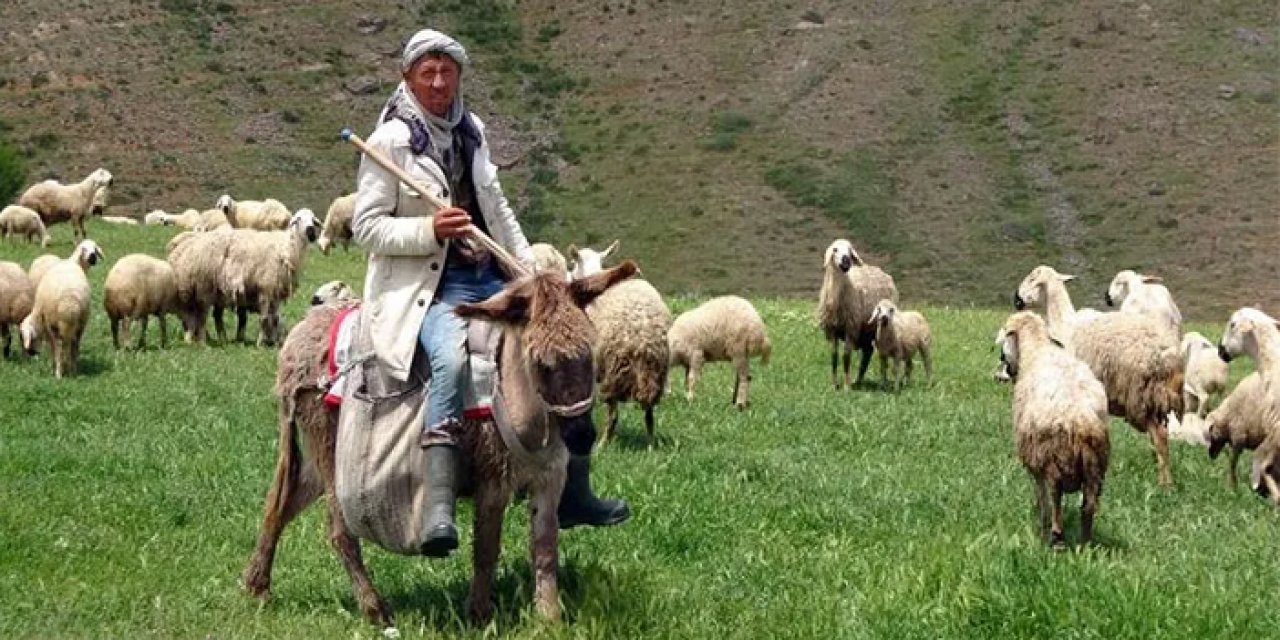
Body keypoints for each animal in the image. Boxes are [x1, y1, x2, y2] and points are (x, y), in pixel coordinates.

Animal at [19, 240, 103, 378]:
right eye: (84, 249)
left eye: (95, 249)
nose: (93, 257)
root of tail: (69, 303)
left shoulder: (49, 325)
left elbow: (54, 347)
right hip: (79, 322)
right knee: (73, 346)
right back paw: (72, 371)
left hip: (56, 323)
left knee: (59, 347)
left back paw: (58, 373)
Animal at [218, 208, 322, 345]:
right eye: (298, 219)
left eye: (313, 219)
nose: (310, 229)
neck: (288, 248)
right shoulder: (266, 287)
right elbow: (264, 318)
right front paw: (260, 343)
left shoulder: (276, 291)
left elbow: (275, 318)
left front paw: (274, 341)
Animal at [819, 240, 901, 389]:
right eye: (835, 249)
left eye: (850, 250)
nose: (846, 260)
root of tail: (877, 269)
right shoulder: (832, 330)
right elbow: (834, 357)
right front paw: (834, 384)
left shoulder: (850, 328)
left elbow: (846, 357)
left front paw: (846, 386)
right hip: (865, 331)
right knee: (868, 351)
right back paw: (859, 380)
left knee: (869, 353)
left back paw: (861, 381)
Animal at [998, 312, 1111, 547]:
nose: (1006, 368)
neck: (1037, 347)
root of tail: (1080, 422)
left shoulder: (1035, 464)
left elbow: (1041, 499)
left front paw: (1041, 526)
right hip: (1097, 469)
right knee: (1088, 508)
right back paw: (1085, 544)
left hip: (1051, 460)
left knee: (1054, 495)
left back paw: (1056, 537)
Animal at [1013, 264, 1182, 483]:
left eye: (1032, 279)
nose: (1016, 299)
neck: (1065, 323)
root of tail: (1163, 355)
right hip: (1157, 397)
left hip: (1139, 395)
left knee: (1159, 435)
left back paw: (1164, 482)